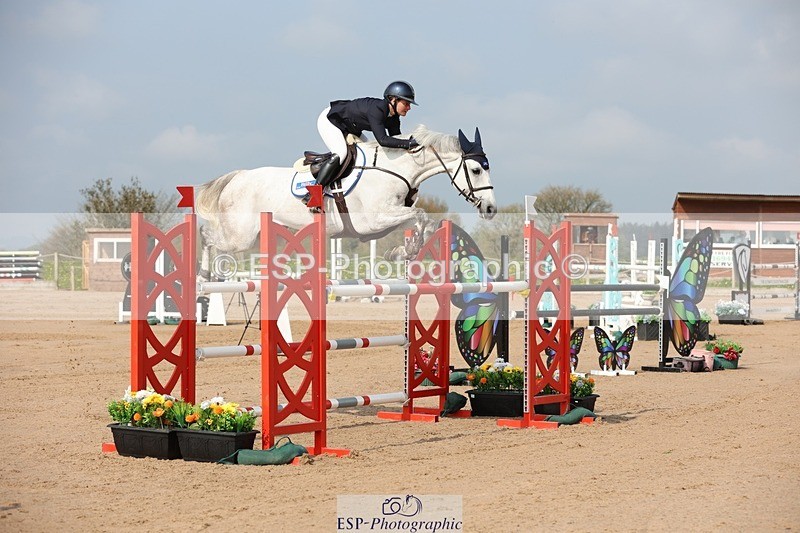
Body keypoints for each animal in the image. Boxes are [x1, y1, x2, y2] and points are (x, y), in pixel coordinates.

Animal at [195, 125, 497, 271]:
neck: (396, 169)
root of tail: (237, 177)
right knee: (206, 236)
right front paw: (406, 250)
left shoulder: (386, 219)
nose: (491, 209)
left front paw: (402, 251)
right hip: (240, 237)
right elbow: (421, 214)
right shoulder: (373, 221)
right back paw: (204, 275)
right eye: (476, 170)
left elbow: (423, 221)